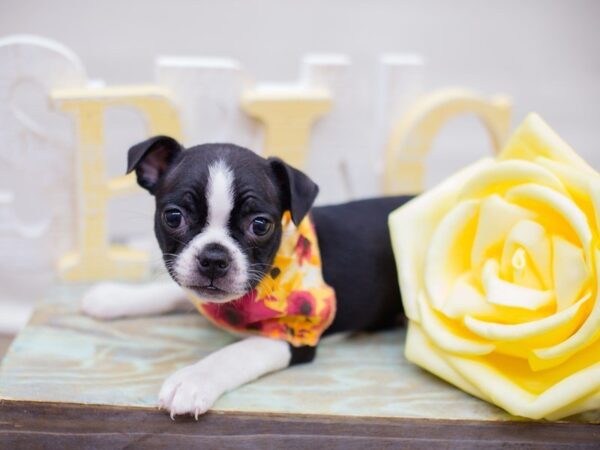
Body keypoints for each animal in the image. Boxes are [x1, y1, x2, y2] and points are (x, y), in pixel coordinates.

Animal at [83, 136, 412, 418]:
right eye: (174, 217)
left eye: (260, 225)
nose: (214, 258)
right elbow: (171, 291)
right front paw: (114, 297)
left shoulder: (297, 333)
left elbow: (238, 352)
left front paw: (193, 379)